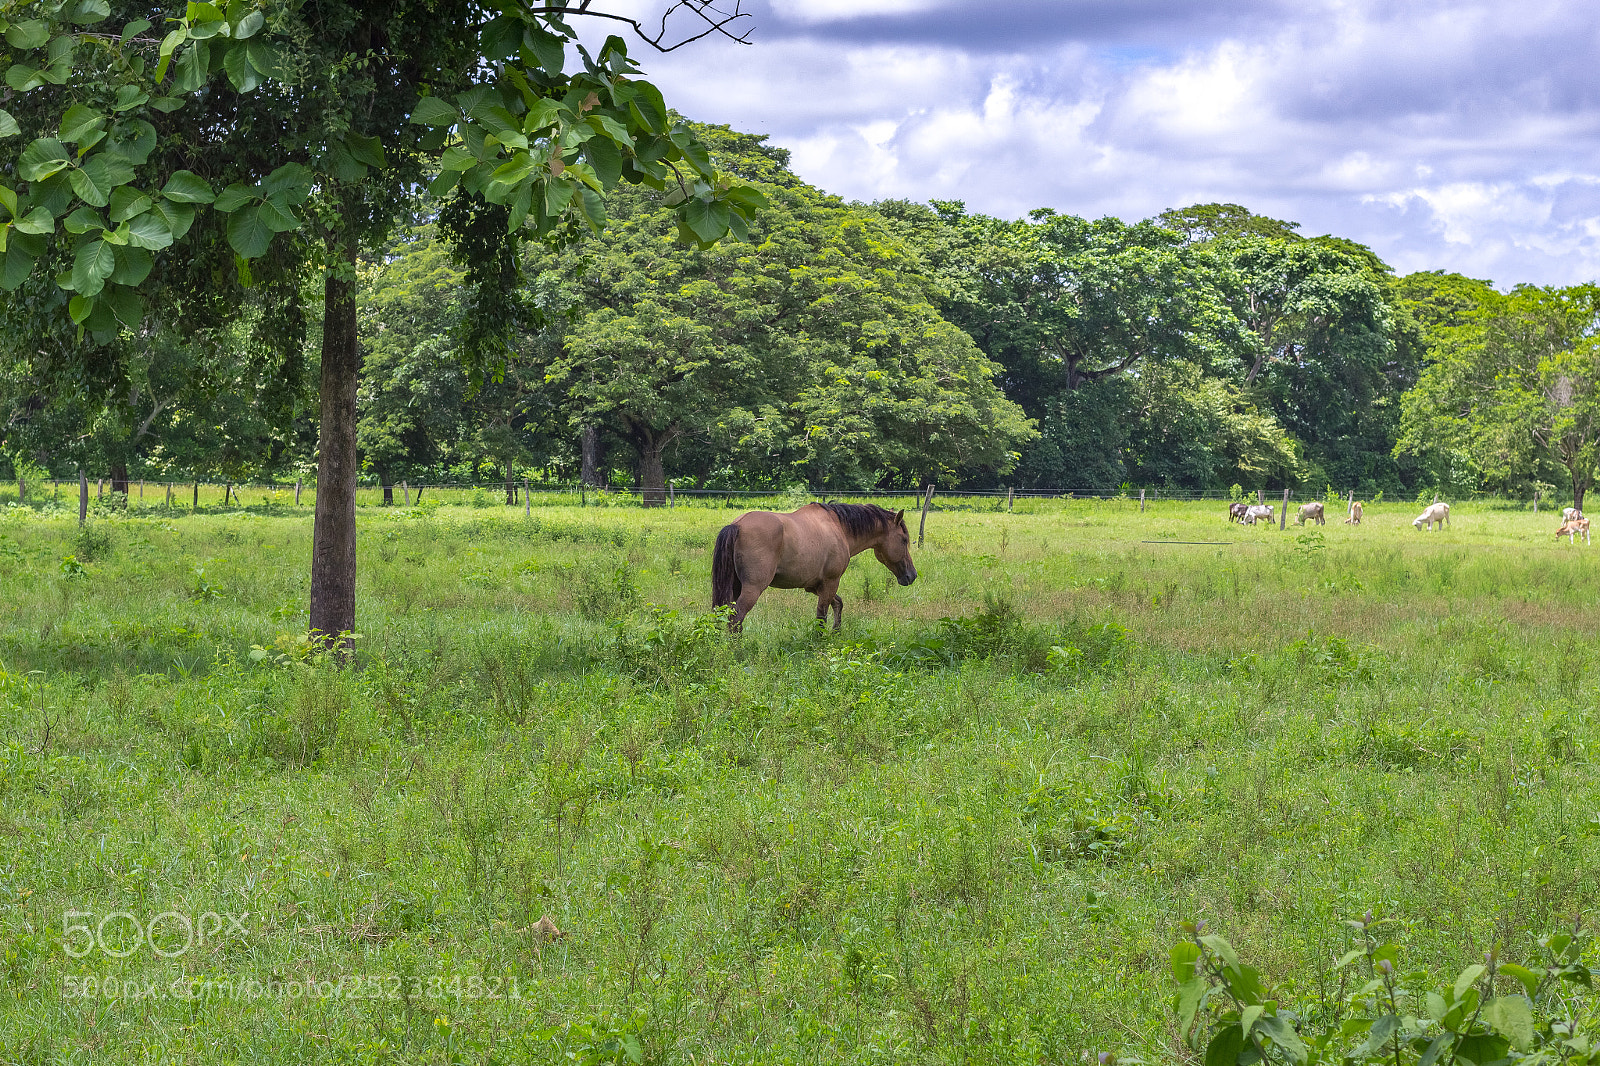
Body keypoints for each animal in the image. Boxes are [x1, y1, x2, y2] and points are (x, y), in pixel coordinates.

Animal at [712, 502, 916, 631]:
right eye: (904, 540)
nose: (912, 575)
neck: (838, 527)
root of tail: (737, 525)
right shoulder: (830, 582)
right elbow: (821, 616)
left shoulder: (814, 586)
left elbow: (838, 604)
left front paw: (836, 631)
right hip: (752, 589)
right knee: (736, 619)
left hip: (734, 587)